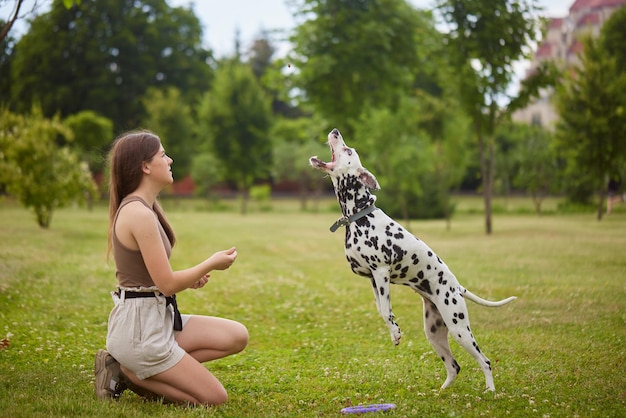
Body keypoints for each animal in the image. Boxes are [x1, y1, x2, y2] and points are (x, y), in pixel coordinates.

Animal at [308, 128, 516, 392]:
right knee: (454, 366)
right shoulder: (372, 279)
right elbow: (381, 310)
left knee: (485, 361)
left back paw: (490, 390)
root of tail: (458, 287)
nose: (335, 131)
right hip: (434, 333)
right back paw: (442, 392)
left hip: (460, 329)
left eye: (348, 151)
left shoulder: (381, 272)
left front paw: (395, 333)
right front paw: (393, 331)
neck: (359, 215)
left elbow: (386, 311)